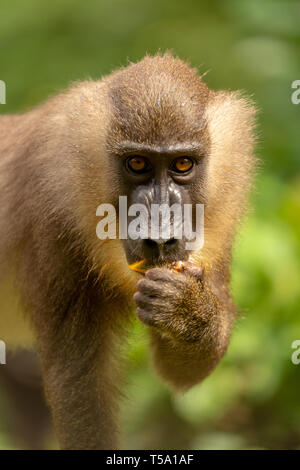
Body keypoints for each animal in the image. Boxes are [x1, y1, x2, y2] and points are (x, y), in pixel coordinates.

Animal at [0, 53, 258, 450]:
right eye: (137, 163)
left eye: (183, 164)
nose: (161, 238)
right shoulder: (51, 221)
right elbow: (79, 384)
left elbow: (181, 372)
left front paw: (187, 309)